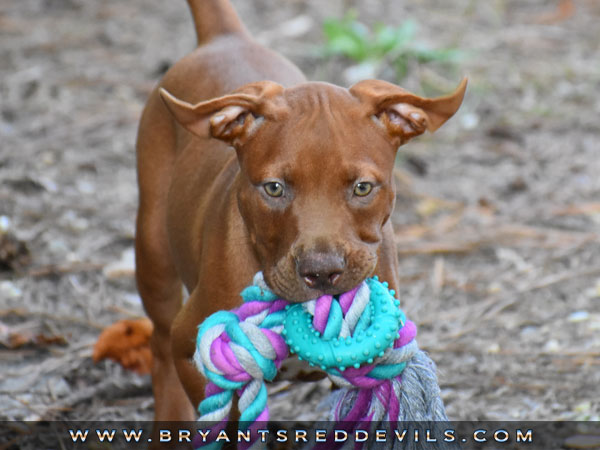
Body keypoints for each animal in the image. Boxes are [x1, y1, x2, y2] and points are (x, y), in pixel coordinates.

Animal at [134, 0, 466, 426]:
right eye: (274, 188)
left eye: (363, 187)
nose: (322, 273)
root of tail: (226, 37)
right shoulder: (190, 348)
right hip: (154, 248)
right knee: (158, 343)